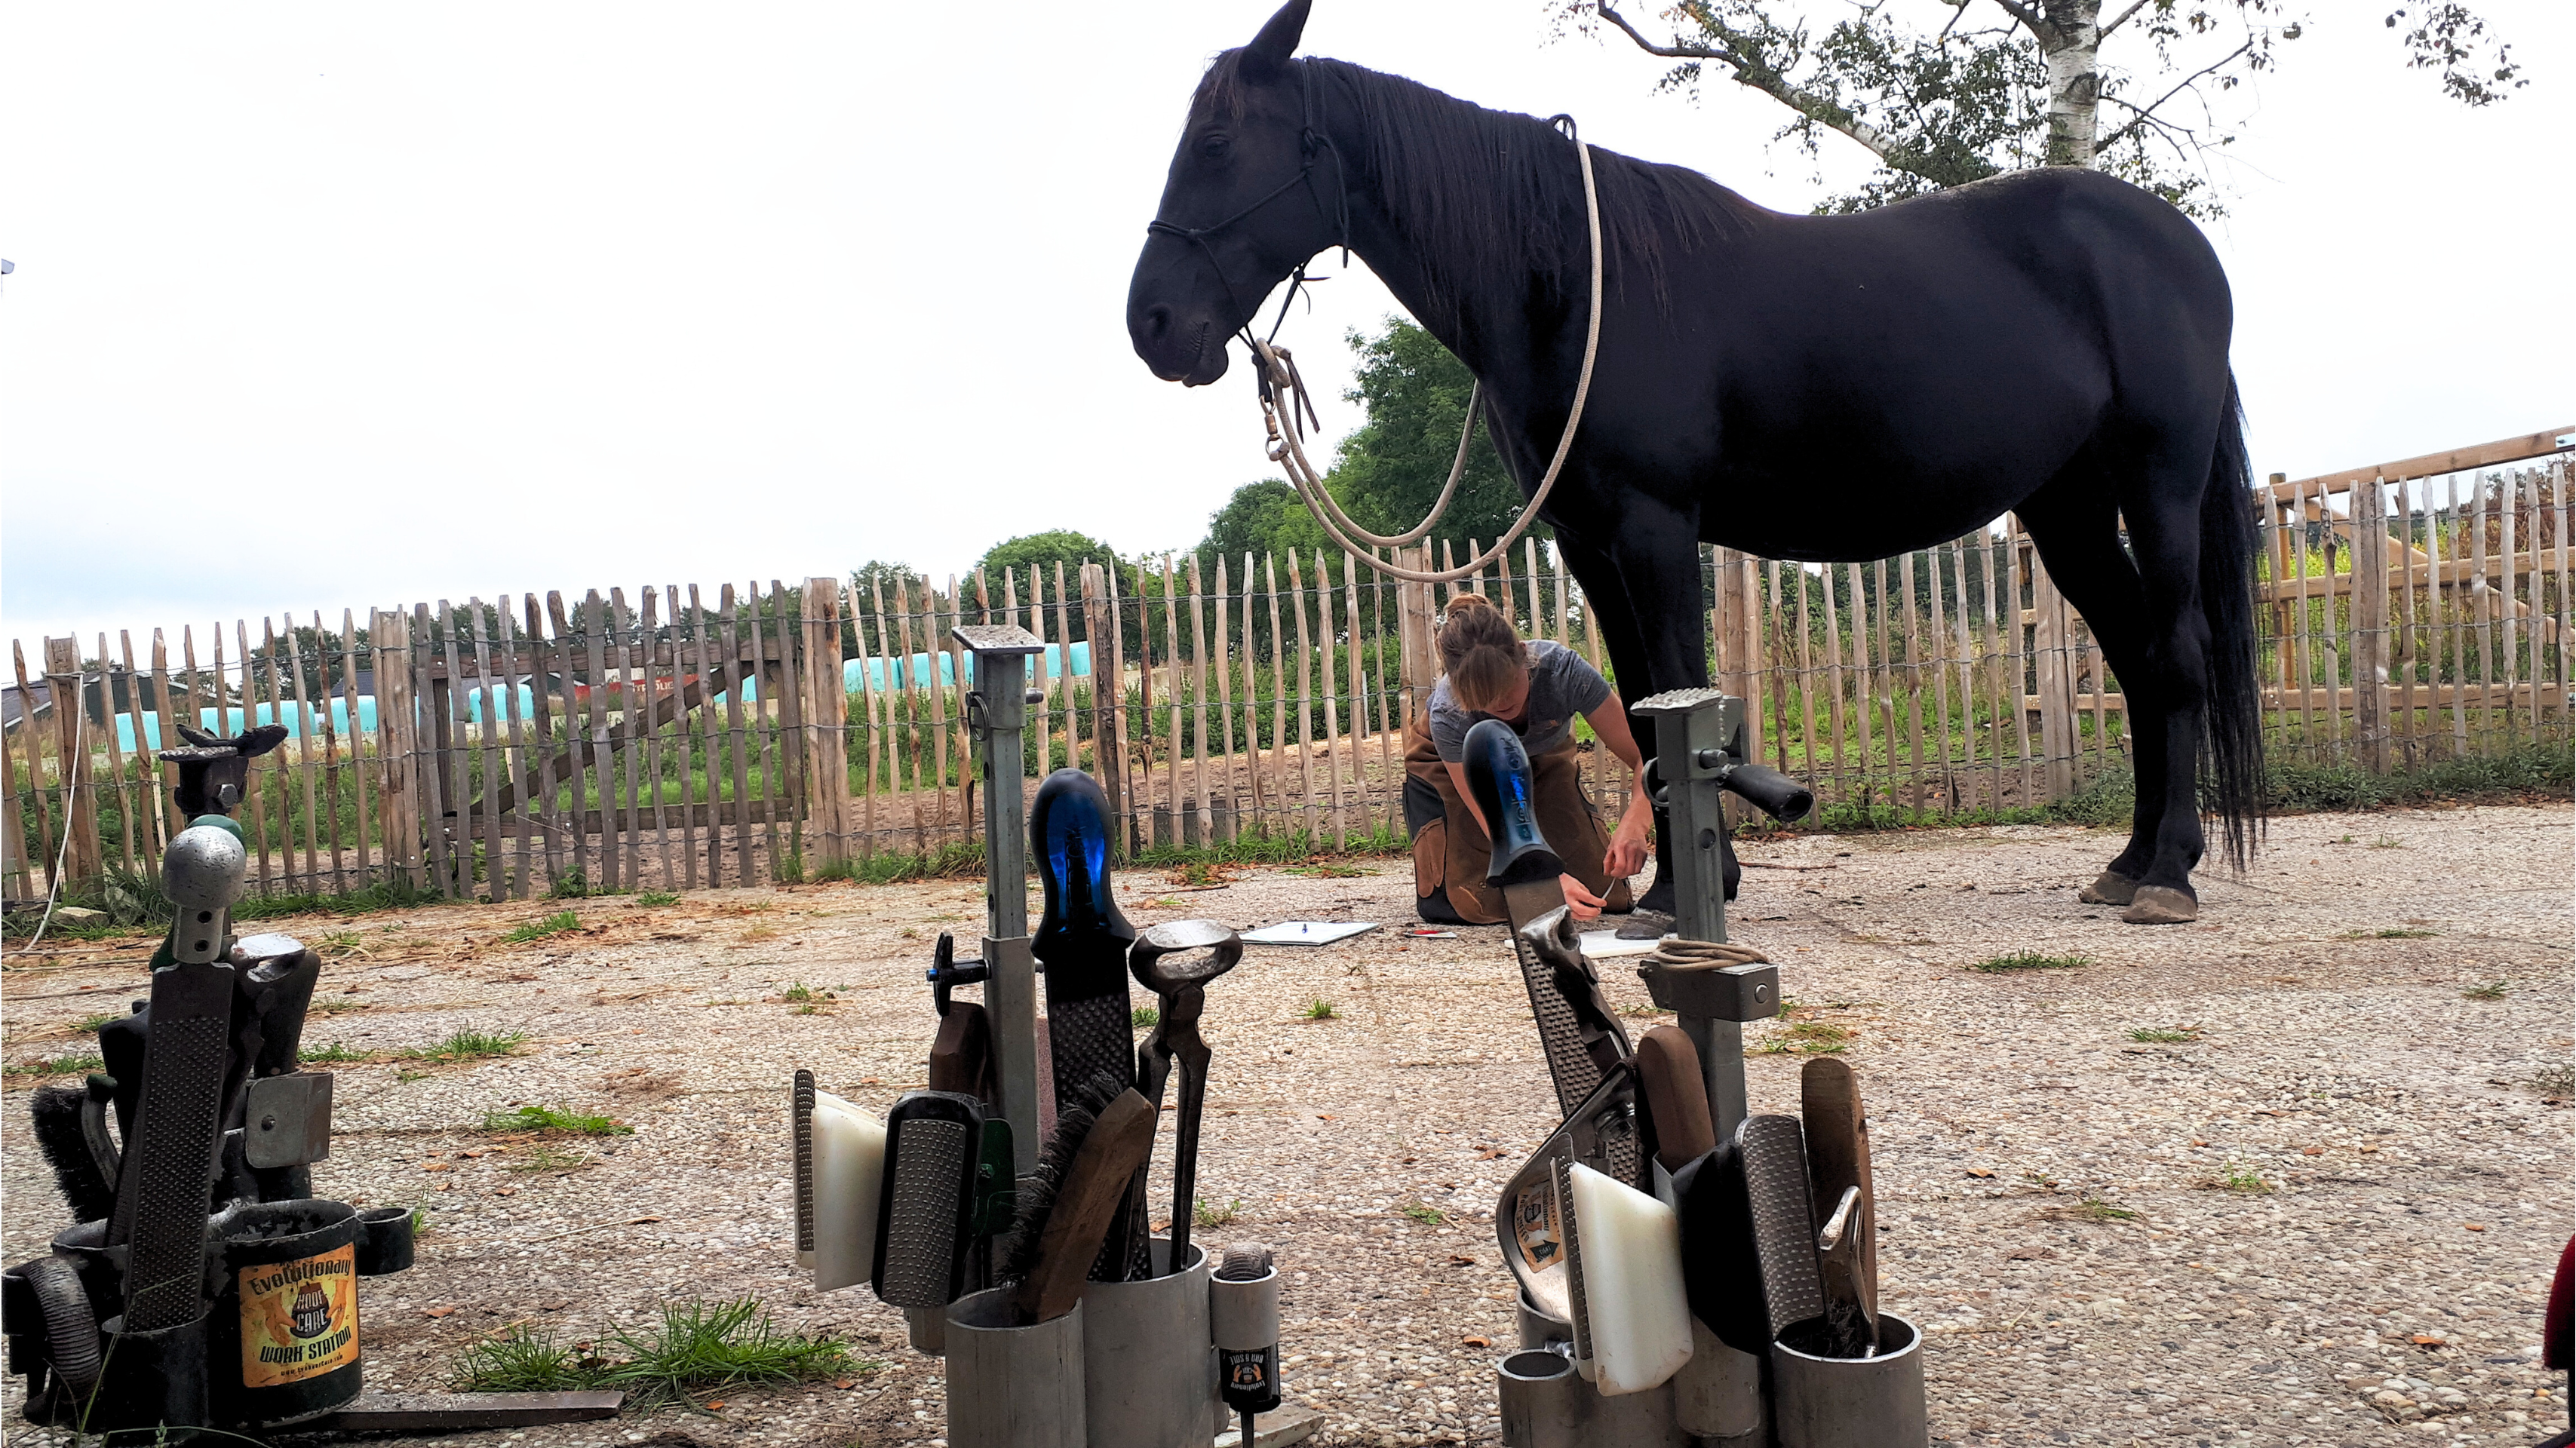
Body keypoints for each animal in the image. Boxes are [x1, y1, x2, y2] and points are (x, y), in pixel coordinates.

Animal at [1128, 0, 2256, 917]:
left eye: (1219, 141)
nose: (1152, 325)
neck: (1574, 281)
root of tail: (2178, 245)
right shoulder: (1587, 540)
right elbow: (1638, 705)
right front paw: (1680, 884)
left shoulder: (1654, 527)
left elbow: (1675, 690)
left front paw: (1691, 887)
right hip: (2066, 509)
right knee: (2133, 659)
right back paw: (2125, 863)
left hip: (2156, 484)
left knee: (2175, 654)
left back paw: (2168, 872)